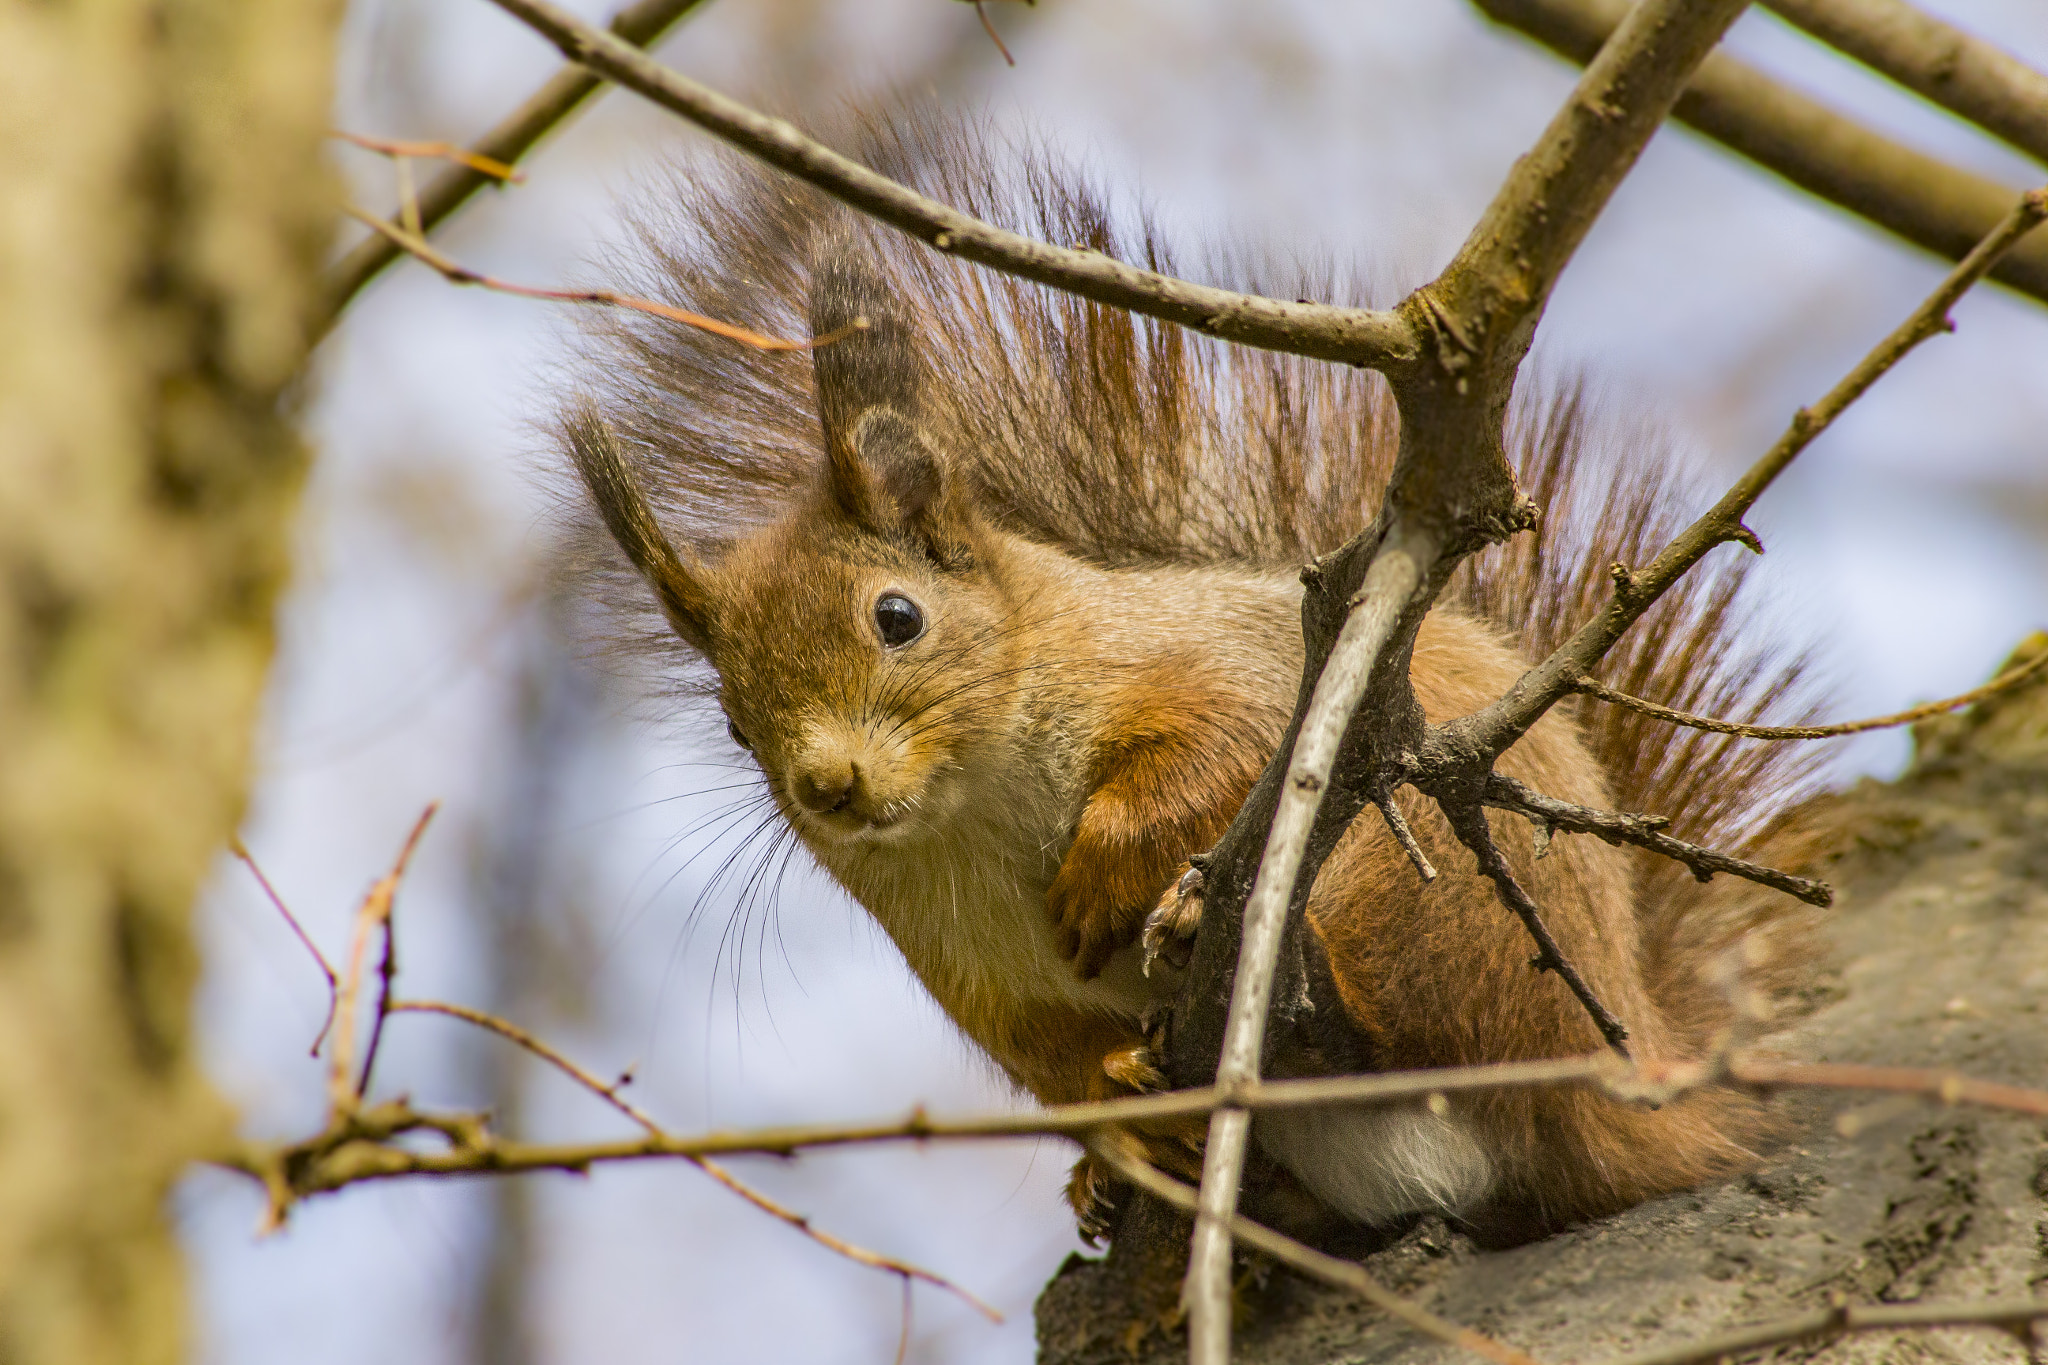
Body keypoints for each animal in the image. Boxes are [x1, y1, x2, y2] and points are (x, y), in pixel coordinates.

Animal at [556, 111, 1829, 1248]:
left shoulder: (1219, 669)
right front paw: (1114, 1133)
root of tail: (1619, 1084)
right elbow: (1062, 1068)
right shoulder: (984, 984)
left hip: (1428, 887)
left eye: (896, 618)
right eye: (731, 721)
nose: (827, 787)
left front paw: (1108, 871)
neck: (974, 809)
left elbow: (1221, 746)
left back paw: (1303, 1008)